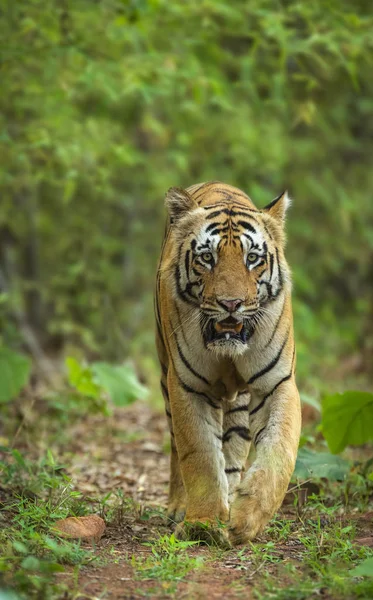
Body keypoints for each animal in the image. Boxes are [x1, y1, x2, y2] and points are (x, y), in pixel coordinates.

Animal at [153, 180, 300, 548]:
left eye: (252, 258)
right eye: (208, 257)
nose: (231, 304)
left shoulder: (276, 383)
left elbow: (278, 452)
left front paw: (245, 520)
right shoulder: (187, 386)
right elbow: (200, 455)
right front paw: (203, 523)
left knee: (233, 450)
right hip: (164, 374)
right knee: (177, 447)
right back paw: (180, 506)